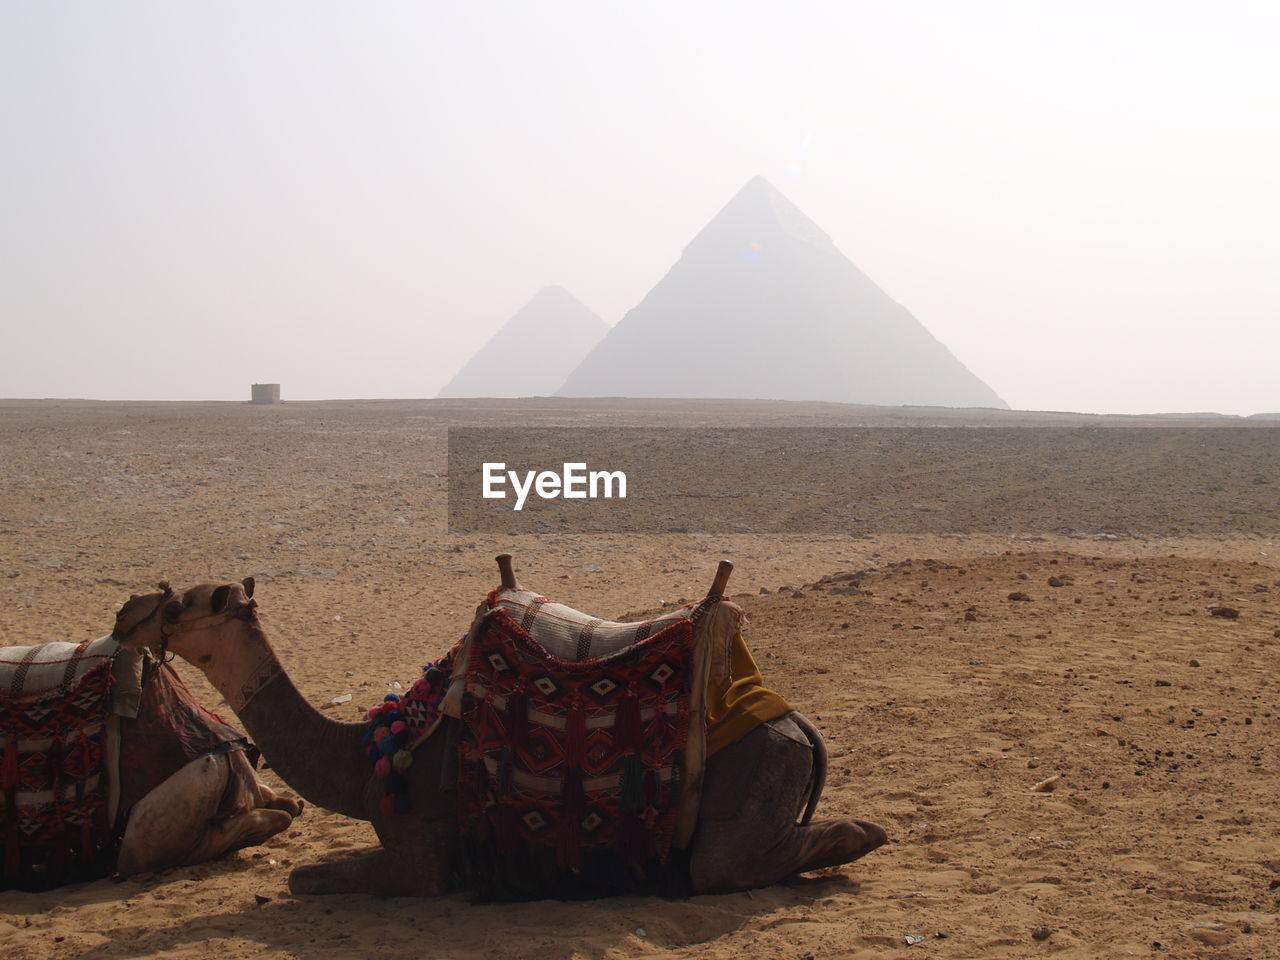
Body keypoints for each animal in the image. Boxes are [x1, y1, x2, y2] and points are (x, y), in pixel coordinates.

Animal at [115, 568, 885, 901]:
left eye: (181, 604)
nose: (127, 613)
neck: (369, 758)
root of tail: (791, 718)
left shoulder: (419, 851)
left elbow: (308, 878)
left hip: (747, 792)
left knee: (737, 862)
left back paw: (859, 837)